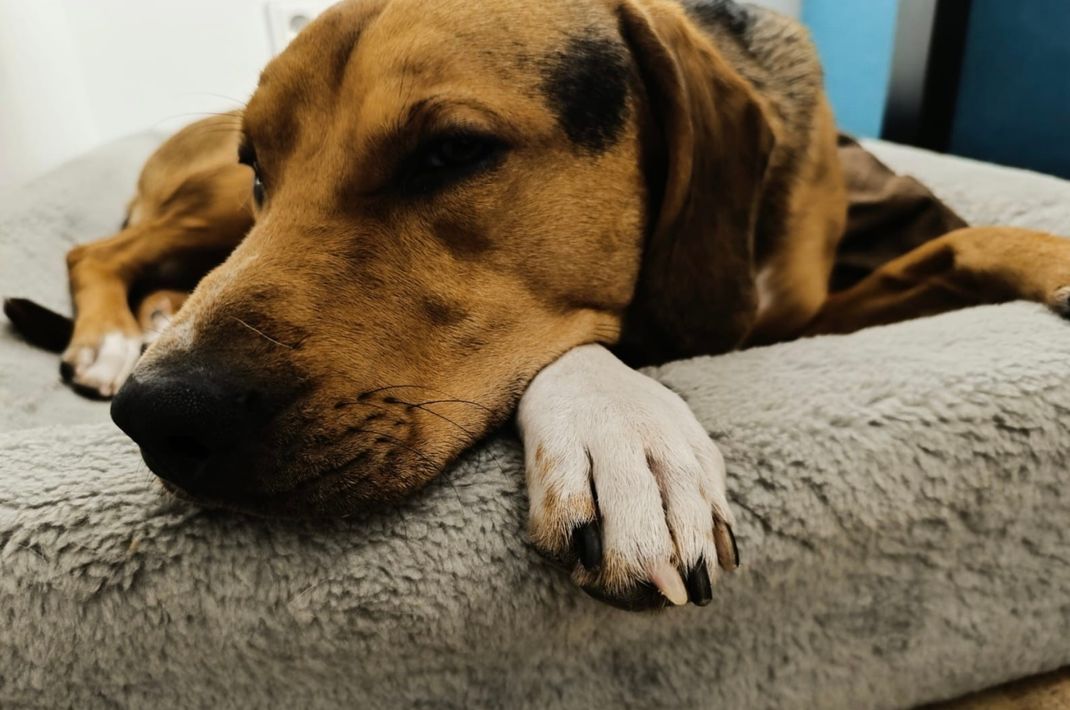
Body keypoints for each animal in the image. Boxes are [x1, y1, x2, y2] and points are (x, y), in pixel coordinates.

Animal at [8, 0, 1070, 611]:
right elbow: (578, 348)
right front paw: (624, 431)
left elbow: (958, 240)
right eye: (262, 161)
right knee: (96, 247)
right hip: (212, 211)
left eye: (451, 152)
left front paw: (1050, 254)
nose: (155, 415)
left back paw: (145, 327)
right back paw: (110, 340)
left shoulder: (787, 316)